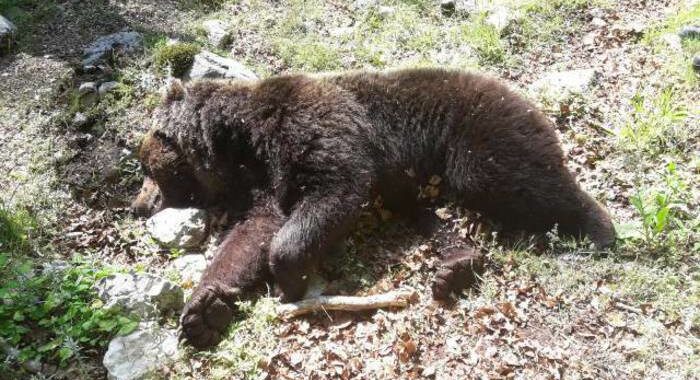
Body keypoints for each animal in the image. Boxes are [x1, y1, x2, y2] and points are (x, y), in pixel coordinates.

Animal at [131, 67, 612, 348]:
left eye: (148, 169)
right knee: (423, 213)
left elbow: (335, 191)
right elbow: (250, 236)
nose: (137, 205)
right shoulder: (265, 183)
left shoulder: (318, 130)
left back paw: (599, 227)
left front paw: (289, 279)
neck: (242, 142)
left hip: (478, 140)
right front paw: (203, 311)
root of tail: (525, 99)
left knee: (518, 182)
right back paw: (455, 266)